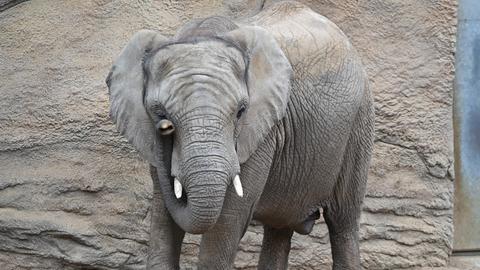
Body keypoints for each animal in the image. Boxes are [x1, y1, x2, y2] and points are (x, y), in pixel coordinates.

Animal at [106, 1, 376, 268]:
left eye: (240, 112)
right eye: (159, 112)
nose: (163, 128)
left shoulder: (262, 133)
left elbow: (228, 220)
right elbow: (163, 217)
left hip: (359, 122)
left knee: (342, 221)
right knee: (279, 227)